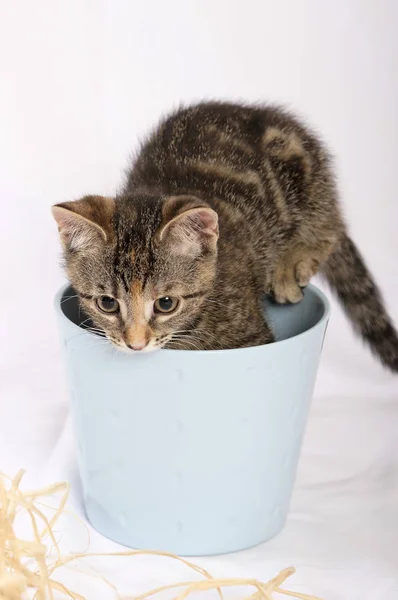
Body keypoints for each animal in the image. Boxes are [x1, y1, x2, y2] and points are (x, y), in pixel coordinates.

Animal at [52, 101, 398, 370]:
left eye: (166, 304)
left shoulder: (252, 336)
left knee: (330, 227)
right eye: (107, 304)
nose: (135, 344)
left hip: (304, 175)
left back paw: (291, 264)